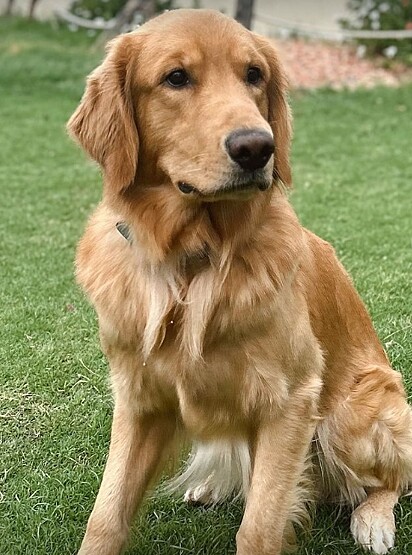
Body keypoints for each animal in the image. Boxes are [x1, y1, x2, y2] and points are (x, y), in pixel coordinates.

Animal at [68, 8, 412, 555]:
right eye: (176, 78)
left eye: (254, 74)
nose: (257, 147)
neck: (194, 261)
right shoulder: (138, 397)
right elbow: (106, 514)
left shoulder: (291, 401)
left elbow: (259, 525)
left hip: (351, 416)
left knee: (393, 478)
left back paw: (373, 519)